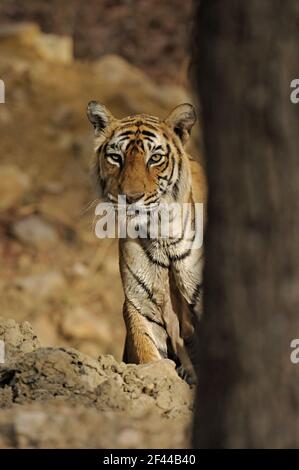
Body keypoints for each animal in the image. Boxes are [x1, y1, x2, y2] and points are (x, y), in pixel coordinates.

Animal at [88, 101, 207, 384]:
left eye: (154, 158)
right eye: (116, 157)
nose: (131, 198)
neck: (162, 235)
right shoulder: (140, 303)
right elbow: (146, 349)